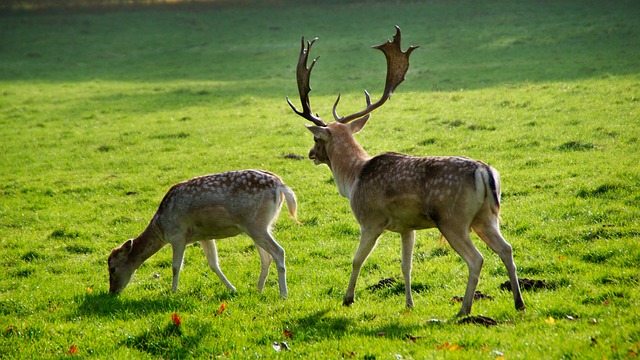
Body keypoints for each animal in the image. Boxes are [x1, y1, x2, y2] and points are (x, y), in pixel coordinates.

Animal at [109, 169, 298, 298]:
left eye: (112, 268)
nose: (112, 292)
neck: (161, 226)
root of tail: (280, 185)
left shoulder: (178, 235)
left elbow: (176, 266)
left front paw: (173, 292)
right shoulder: (204, 237)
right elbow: (213, 264)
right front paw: (233, 289)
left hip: (256, 224)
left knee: (278, 251)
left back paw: (283, 294)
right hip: (260, 226)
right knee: (266, 257)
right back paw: (258, 289)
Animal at [288, 26, 524, 316]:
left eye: (316, 139)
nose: (311, 154)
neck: (354, 178)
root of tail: (485, 171)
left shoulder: (370, 220)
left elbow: (357, 260)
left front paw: (348, 298)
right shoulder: (407, 227)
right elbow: (406, 265)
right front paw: (409, 303)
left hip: (452, 219)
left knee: (476, 259)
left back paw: (464, 309)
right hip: (485, 217)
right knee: (507, 249)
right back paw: (518, 302)